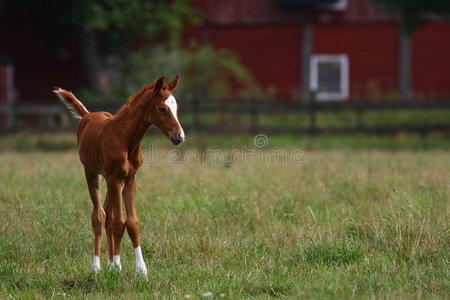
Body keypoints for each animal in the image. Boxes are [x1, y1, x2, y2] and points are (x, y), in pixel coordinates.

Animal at [54, 75, 185, 276]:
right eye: (162, 108)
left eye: (176, 108)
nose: (179, 136)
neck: (125, 138)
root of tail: (88, 115)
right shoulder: (115, 179)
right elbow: (118, 222)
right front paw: (116, 266)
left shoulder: (130, 180)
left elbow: (131, 223)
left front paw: (140, 269)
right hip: (93, 174)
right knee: (99, 216)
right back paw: (96, 266)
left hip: (109, 180)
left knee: (107, 214)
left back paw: (108, 263)